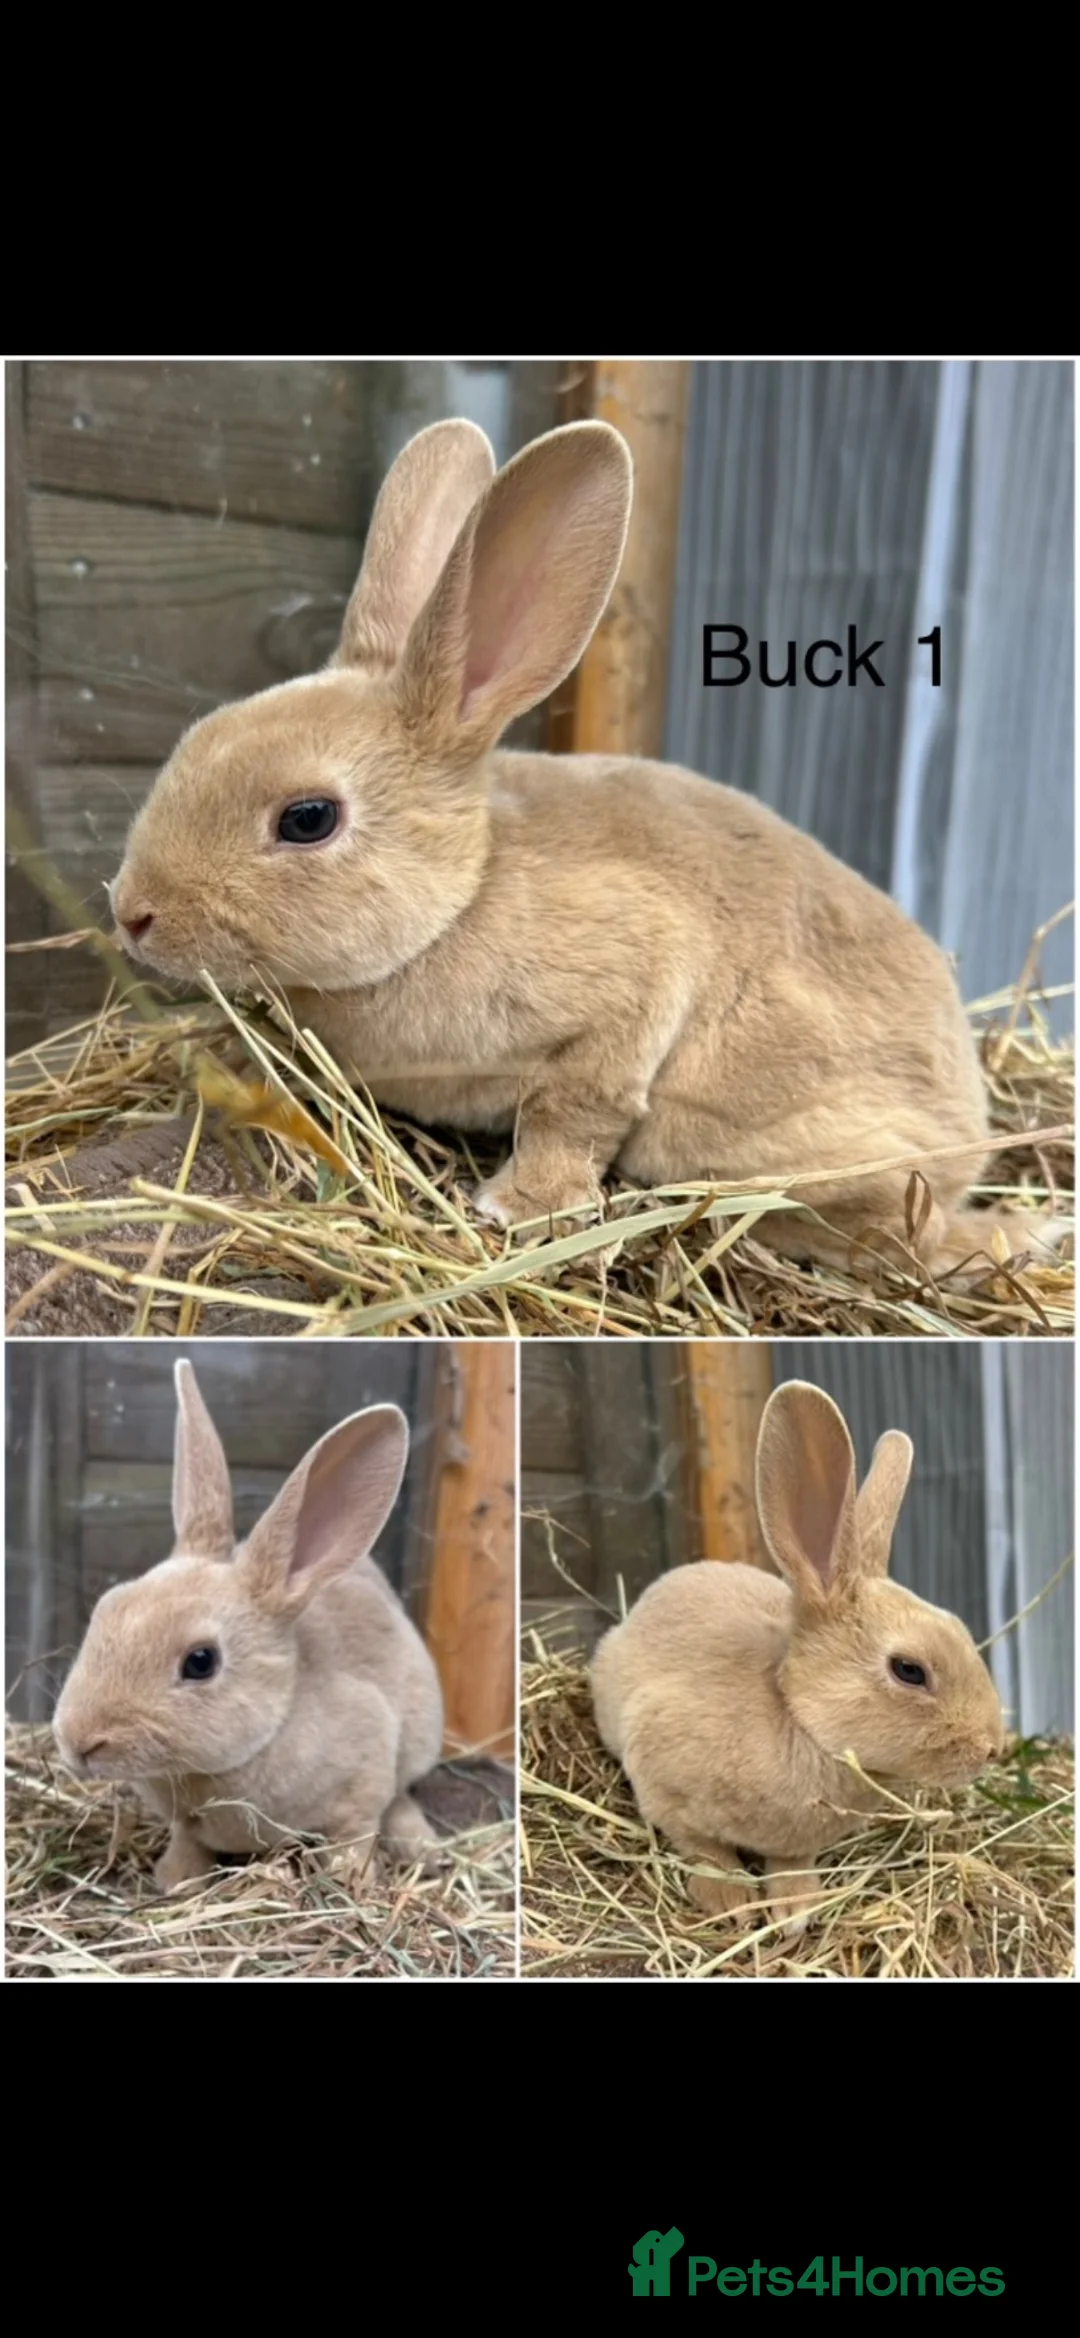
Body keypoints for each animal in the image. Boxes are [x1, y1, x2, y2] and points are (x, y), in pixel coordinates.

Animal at [52, 1360, 444, 1894]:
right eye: (106, 1609)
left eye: (201, 1661)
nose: (79, 1741)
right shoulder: (186, 1824)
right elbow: (187, 1842)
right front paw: (175, 1880)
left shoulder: (364, 1781)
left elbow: (356, 1833)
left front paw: (353, 1880)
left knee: (402, 1798)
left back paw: (422, 1849)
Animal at [107, 414, 1058, 1281]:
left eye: (308, 819)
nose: (132, 913)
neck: (465, 896)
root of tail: (970, 1136)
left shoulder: (633, 988)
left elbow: (575, 1111)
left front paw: (521, 1209)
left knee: (897, 1233)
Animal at [590, 1379, 1005, 1935]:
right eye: (909, 1670)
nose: (992, 1748)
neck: (799, 1717)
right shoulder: (662, 1784)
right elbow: (704, 1850)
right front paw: (733, 1904)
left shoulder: (795, 1844)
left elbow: (790, 1863)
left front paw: (795, 1909)